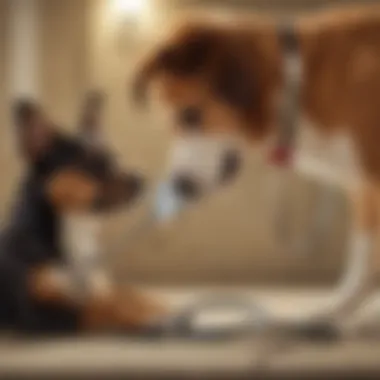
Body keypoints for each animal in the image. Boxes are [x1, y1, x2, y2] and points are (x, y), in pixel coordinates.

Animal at [0, 97, 164, 336]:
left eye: (114, 157)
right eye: (91, 164)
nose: (140, 178)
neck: (77, 227)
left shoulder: (99, 287)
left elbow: (122, 293)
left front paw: (147, 303)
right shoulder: (37, 311)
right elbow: (99, 307)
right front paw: (142, 315)